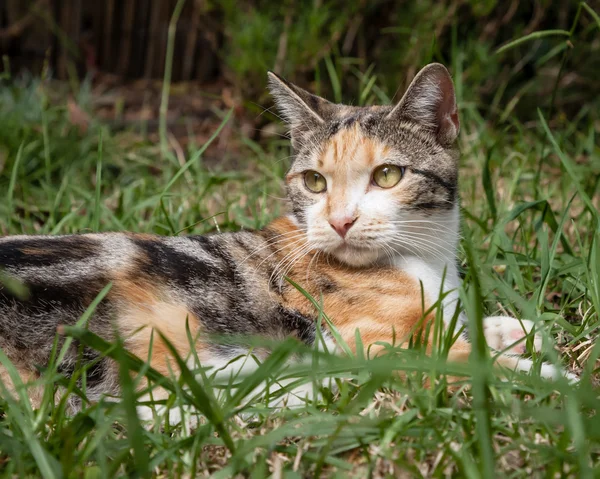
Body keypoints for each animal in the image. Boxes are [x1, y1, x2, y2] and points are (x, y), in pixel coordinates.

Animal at [0, 64, 576, 424]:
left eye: (387, 176)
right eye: (315, 182)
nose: (340, 221)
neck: (424, 260)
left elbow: (463, 328)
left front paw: (515, 329)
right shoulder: (372, 340)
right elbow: (457, 360)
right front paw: (555, 379)